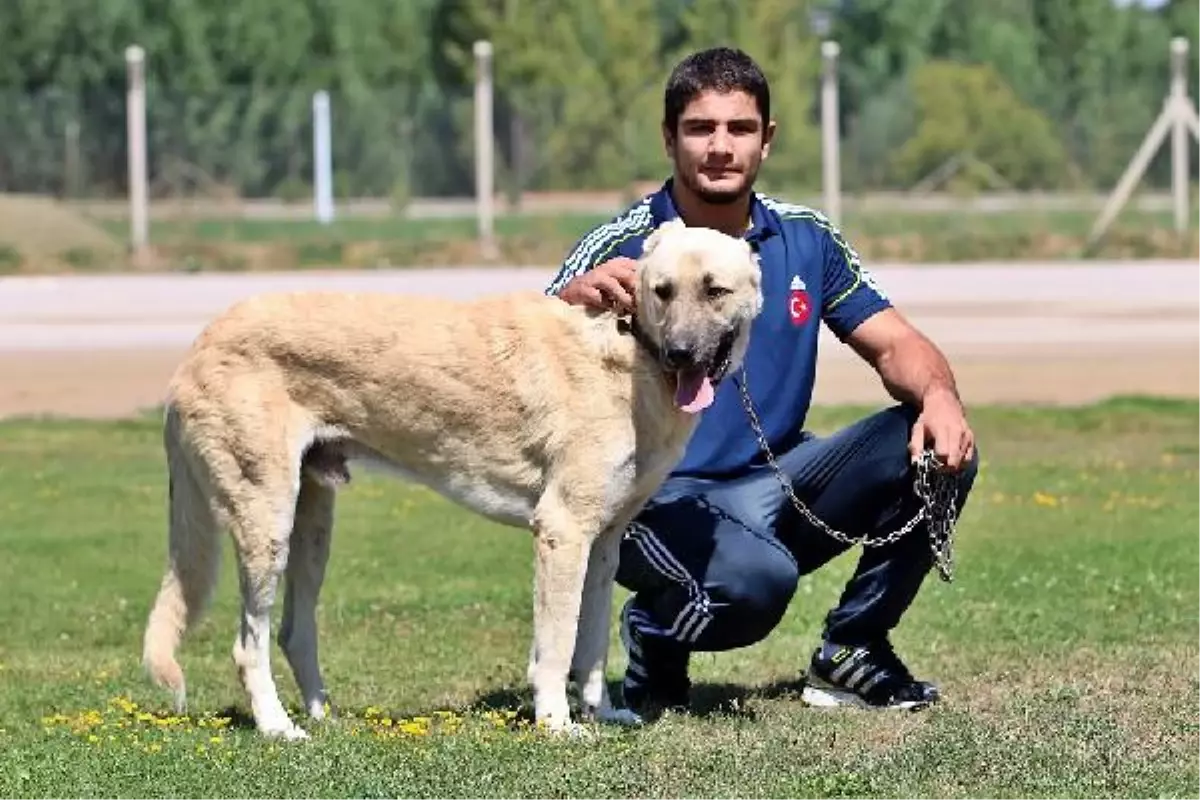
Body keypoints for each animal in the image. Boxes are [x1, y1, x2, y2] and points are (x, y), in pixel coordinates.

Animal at [140, 217, 758, 738]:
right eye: (662, 291)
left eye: (715, 290)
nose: (680, 354)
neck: (630, 353)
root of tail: (197, 347)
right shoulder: (561, 532)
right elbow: (556, 647)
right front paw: (557, 725)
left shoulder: (603, 543)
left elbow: (592, 646)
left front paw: (601, 712)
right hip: (265, 522)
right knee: (250, 646)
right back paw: (277, 727)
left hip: (311, 525)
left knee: (293, 632)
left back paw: (324, 718)